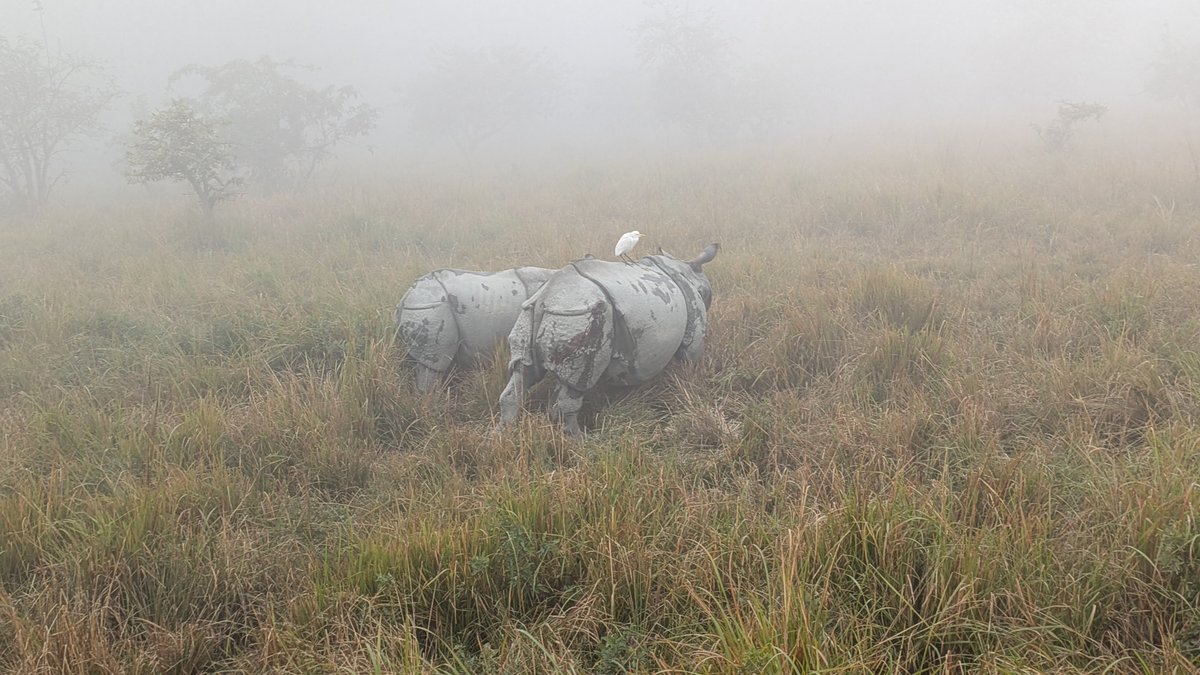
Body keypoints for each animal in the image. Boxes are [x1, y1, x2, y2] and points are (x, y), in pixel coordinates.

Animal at [498, 243, 720, 435]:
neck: (687, 269)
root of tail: (546, 298)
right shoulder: (694, 331)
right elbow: (691, 359)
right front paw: (692, 380)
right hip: (581, 315)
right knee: (578, 383)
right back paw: (581, 441)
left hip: (531, 314)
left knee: (522, 372)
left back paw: (502, 433)